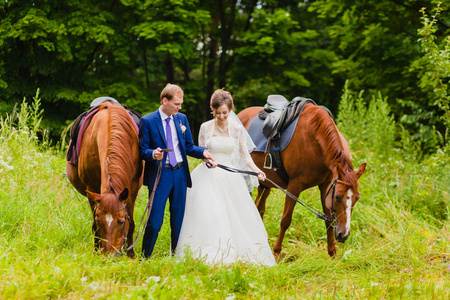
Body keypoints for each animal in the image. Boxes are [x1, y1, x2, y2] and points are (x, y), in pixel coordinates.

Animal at [66, 102, 142, 256]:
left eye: (121, 221)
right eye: (100, 221)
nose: (109, 256)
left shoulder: (132, 188)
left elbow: (131, 223)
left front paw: (131, 255)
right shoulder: (92, 190)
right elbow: (94, 226)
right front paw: (96, 252)